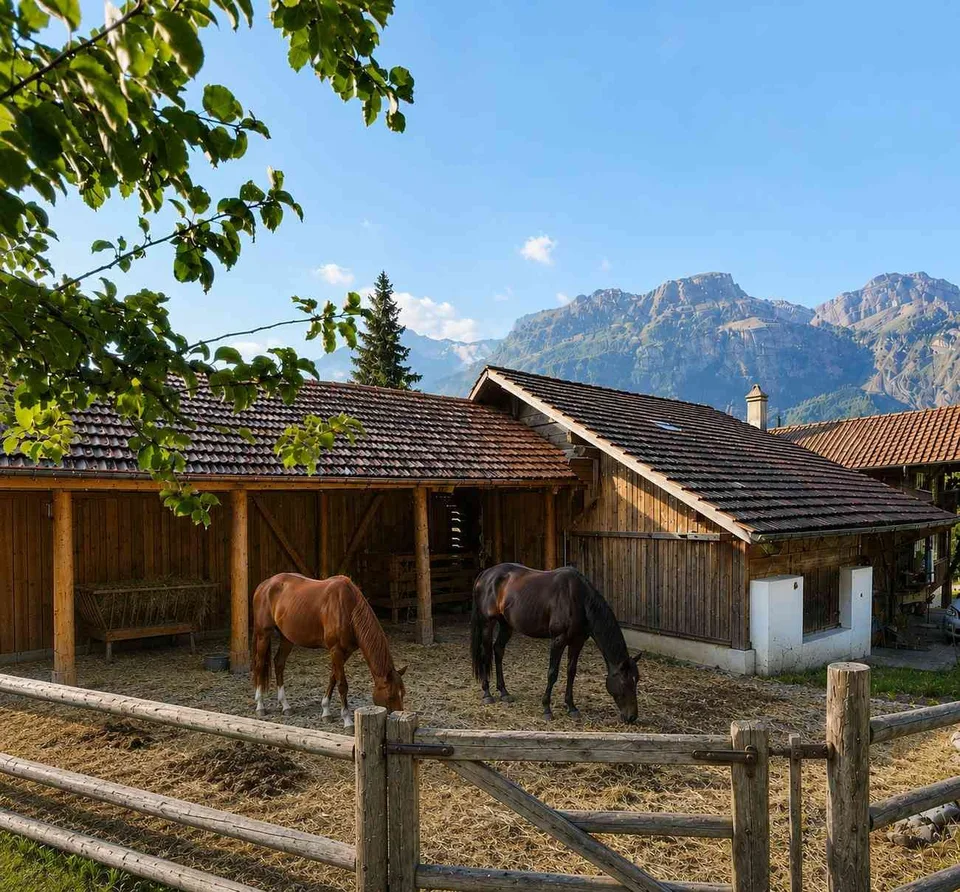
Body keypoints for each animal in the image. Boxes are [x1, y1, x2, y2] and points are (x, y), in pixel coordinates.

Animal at [251, 573, 406, 728]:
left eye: (403, 693)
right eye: (391, 695)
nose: (398, 715)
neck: (347, 608)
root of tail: (265, 585)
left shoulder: (345, 652)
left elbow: (333, 677)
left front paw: (326, 711)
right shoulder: (335, 650)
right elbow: (342, 684)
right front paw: (347, 720)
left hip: (287, 638)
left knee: (279, 663)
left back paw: (285, 705)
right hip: (263, 635)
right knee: (259, 665)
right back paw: (260, 706)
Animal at [471, 563, 640, 723]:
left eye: (636, 680)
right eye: (625, 682)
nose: (632, 717)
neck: (578, 599)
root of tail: (485, 574)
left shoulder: (577, 641)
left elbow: (571, 672)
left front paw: (571, 707)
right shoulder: (558, 640)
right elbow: (552, 673)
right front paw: (547, 709)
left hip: (506, 625)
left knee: (498, 650)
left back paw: (504, 692)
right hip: (487, 623)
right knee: (485, 653)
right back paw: (487, 693)